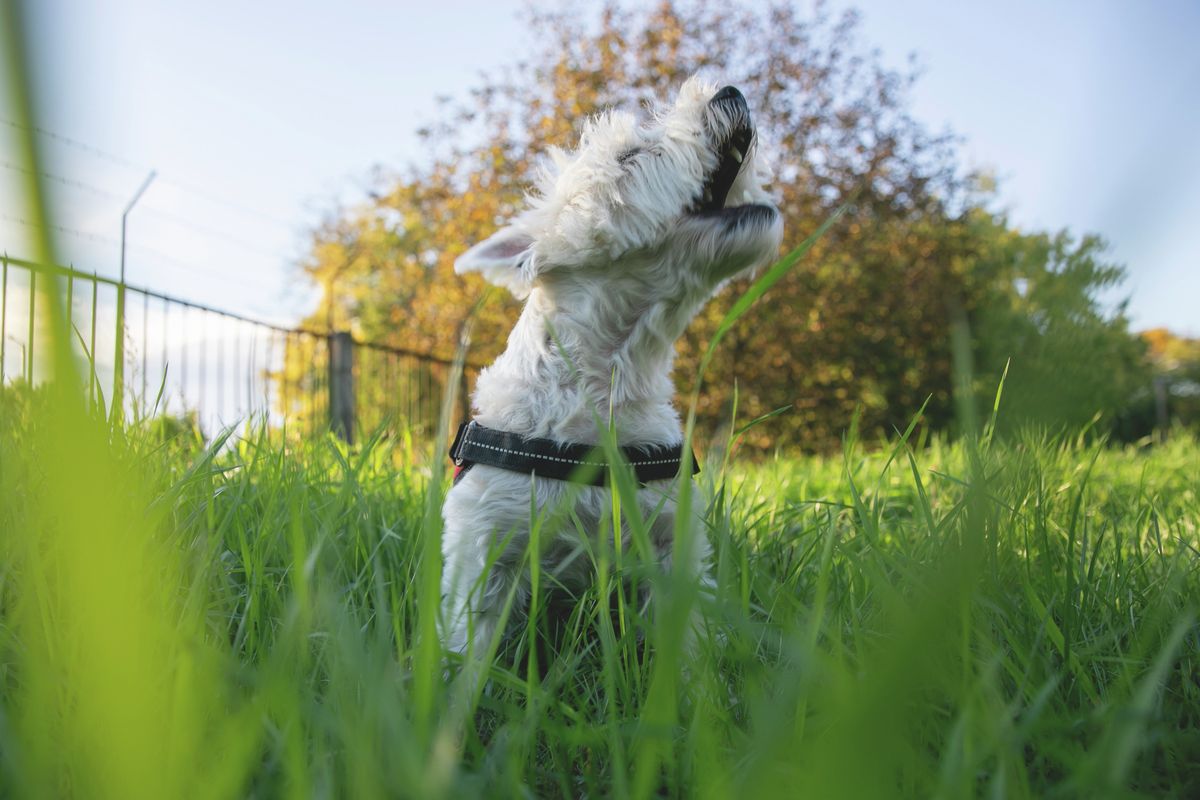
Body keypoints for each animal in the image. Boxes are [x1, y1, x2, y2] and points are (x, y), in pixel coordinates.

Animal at [441, 77, 787, 662]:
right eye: (632, 156)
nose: (730, 91)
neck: (607, 387)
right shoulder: (487, 546)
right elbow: (472, 649)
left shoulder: (673, 546)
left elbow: (687, 650)